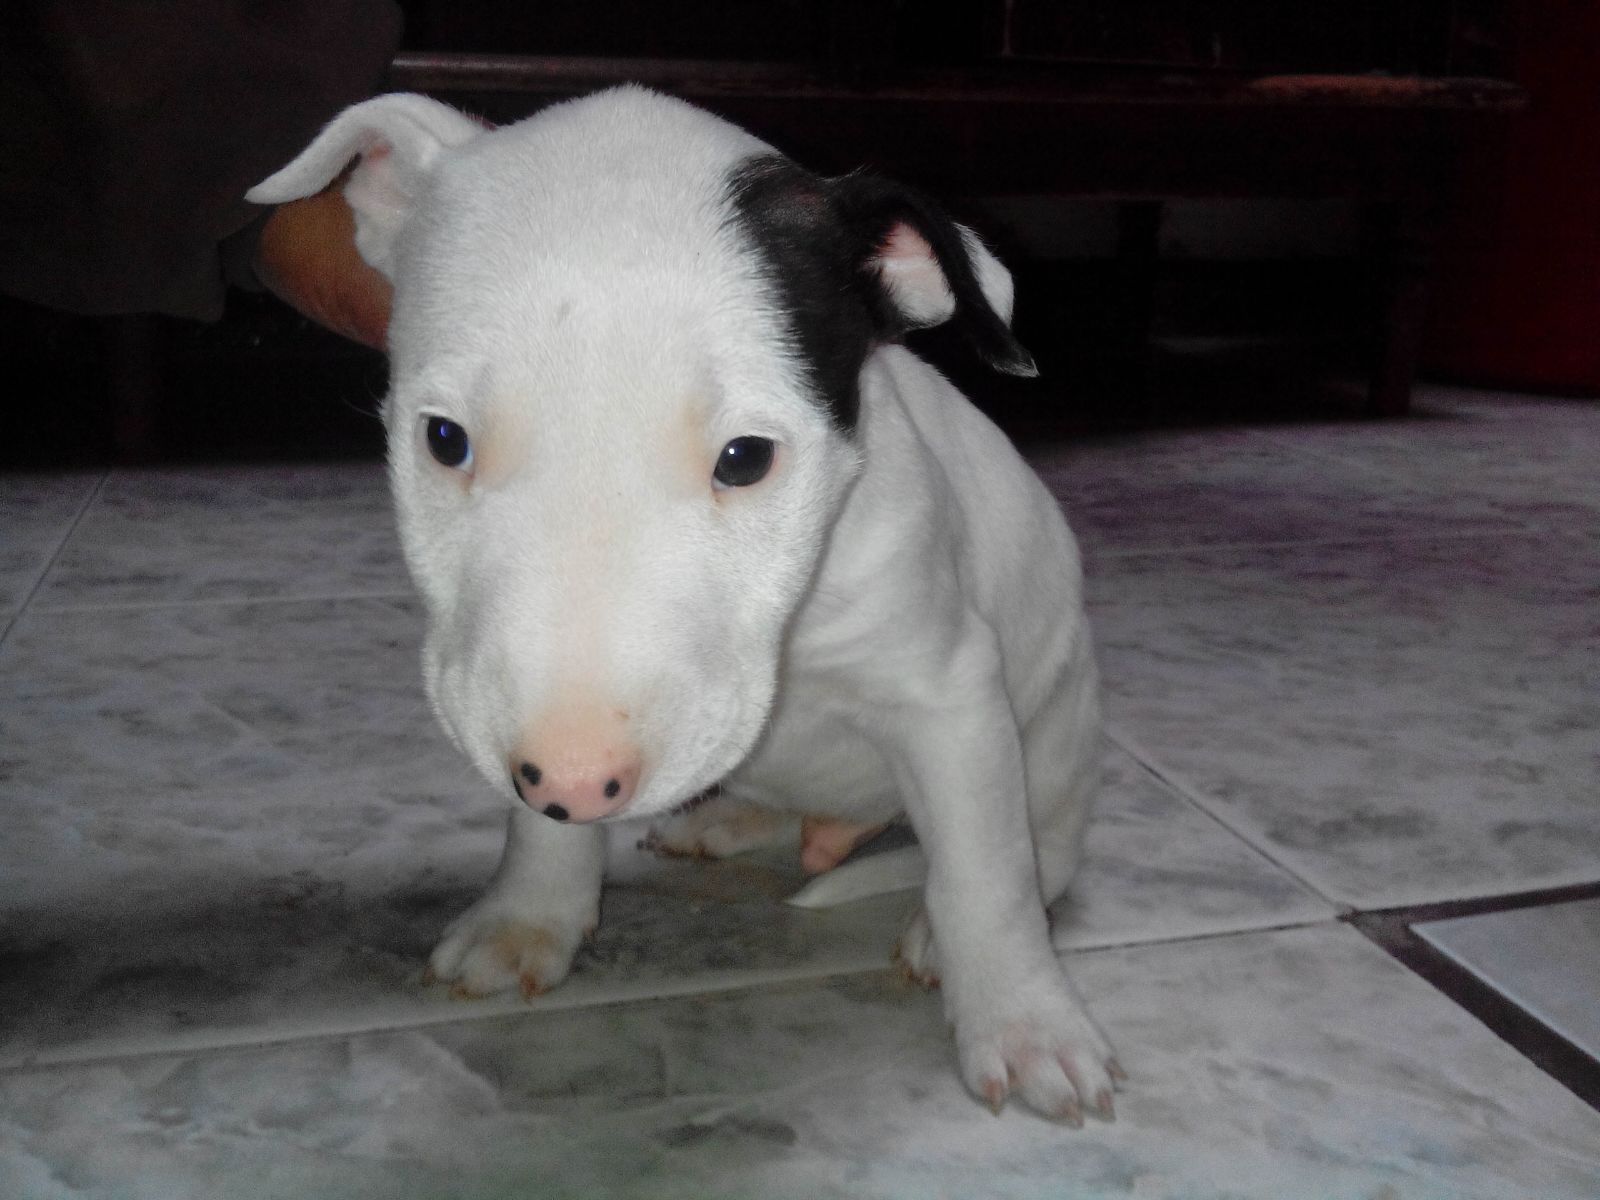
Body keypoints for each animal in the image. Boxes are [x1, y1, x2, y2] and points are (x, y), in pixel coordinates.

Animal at [249, 86, 1126, 1126]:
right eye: (445, 440)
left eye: (746, 457)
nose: (575, 779)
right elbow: (537, 830)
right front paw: (527, 917)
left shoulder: (948, 696)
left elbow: (986, 876)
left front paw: (1025, 1024)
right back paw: (729, 822)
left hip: (1057, 739)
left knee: (1040, 852)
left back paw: (930, 925)